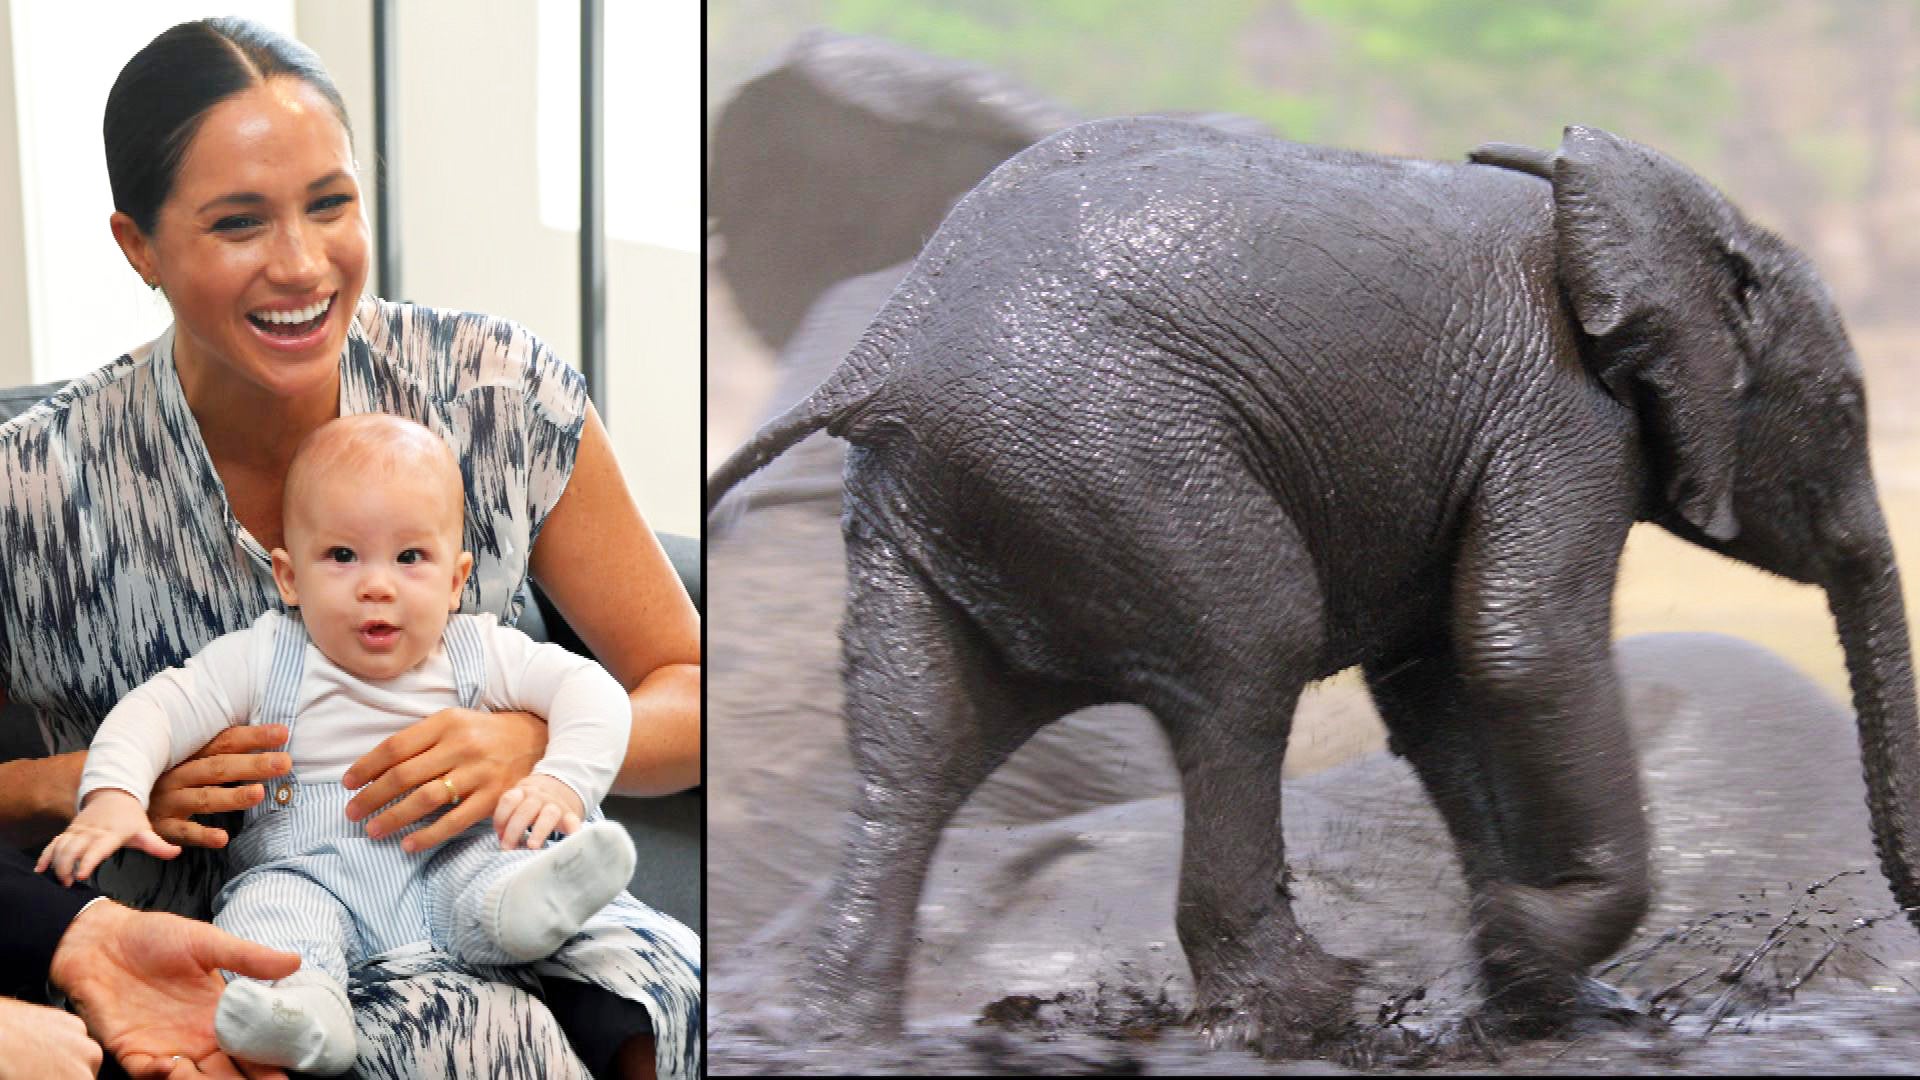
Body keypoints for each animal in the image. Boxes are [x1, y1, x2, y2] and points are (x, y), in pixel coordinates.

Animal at [706, 117, 1920, 1051]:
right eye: (1847, 412)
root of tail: (883, 359)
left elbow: (1441, 687)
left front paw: (1541, 995)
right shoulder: (1562, 413)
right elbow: (1523, 646)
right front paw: (1521, 946)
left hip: (932, 509)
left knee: (916, 747)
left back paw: (839, 1031)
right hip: (1106, 456)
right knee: (1251, 653)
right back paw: (1307, 1008)